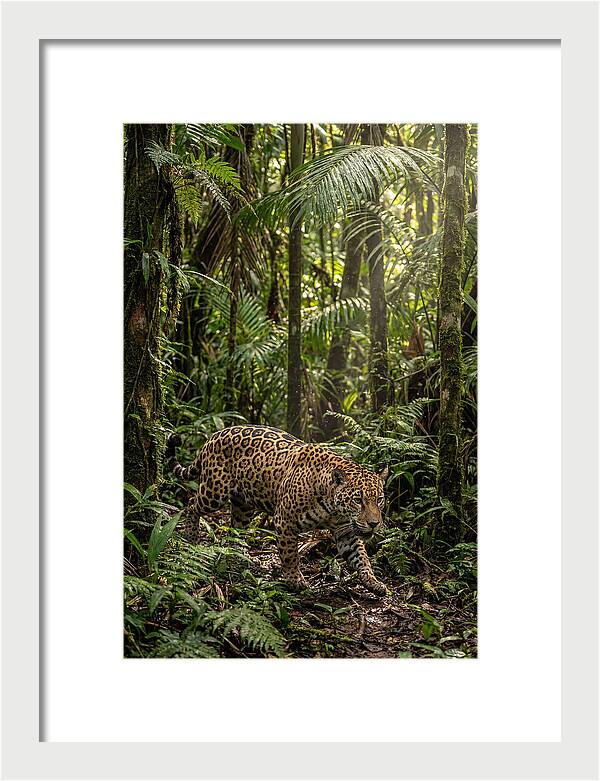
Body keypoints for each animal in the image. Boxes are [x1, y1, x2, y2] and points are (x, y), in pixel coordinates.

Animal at [166, 425, 390, 596]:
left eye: (379, 500)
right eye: (358, 500)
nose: (374, 524)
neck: (332, 507)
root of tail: (213, 436)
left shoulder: (346, 531)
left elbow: (361, 557)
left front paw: (374, 582)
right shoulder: (285, 521)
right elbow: (290, 554)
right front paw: (295, 581)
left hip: (243, 505)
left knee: (236, 527)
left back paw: (238, 554)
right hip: (214, 492)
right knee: (191, 504)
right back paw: (191, 536)